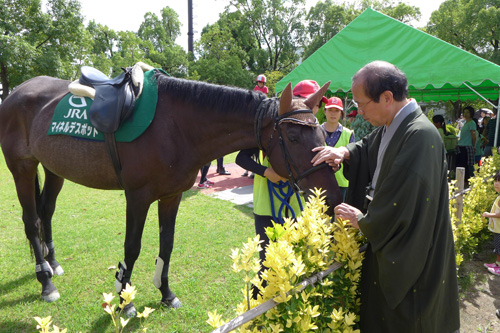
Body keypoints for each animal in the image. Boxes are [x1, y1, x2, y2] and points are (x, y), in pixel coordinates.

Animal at [0, 70, 342, 314]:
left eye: (321, 132)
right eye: (294, 137)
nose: (332, 195)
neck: (174, 126)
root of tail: (17, 91)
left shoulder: (171, 196)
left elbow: (167, 243)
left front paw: (165, 293)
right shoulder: (137, 198)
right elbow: (132, 248)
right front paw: (125, 299)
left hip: (54, 169)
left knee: (46, 213)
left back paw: (52, 262)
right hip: (22, 168)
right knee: (31, 221)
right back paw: (45, 281)